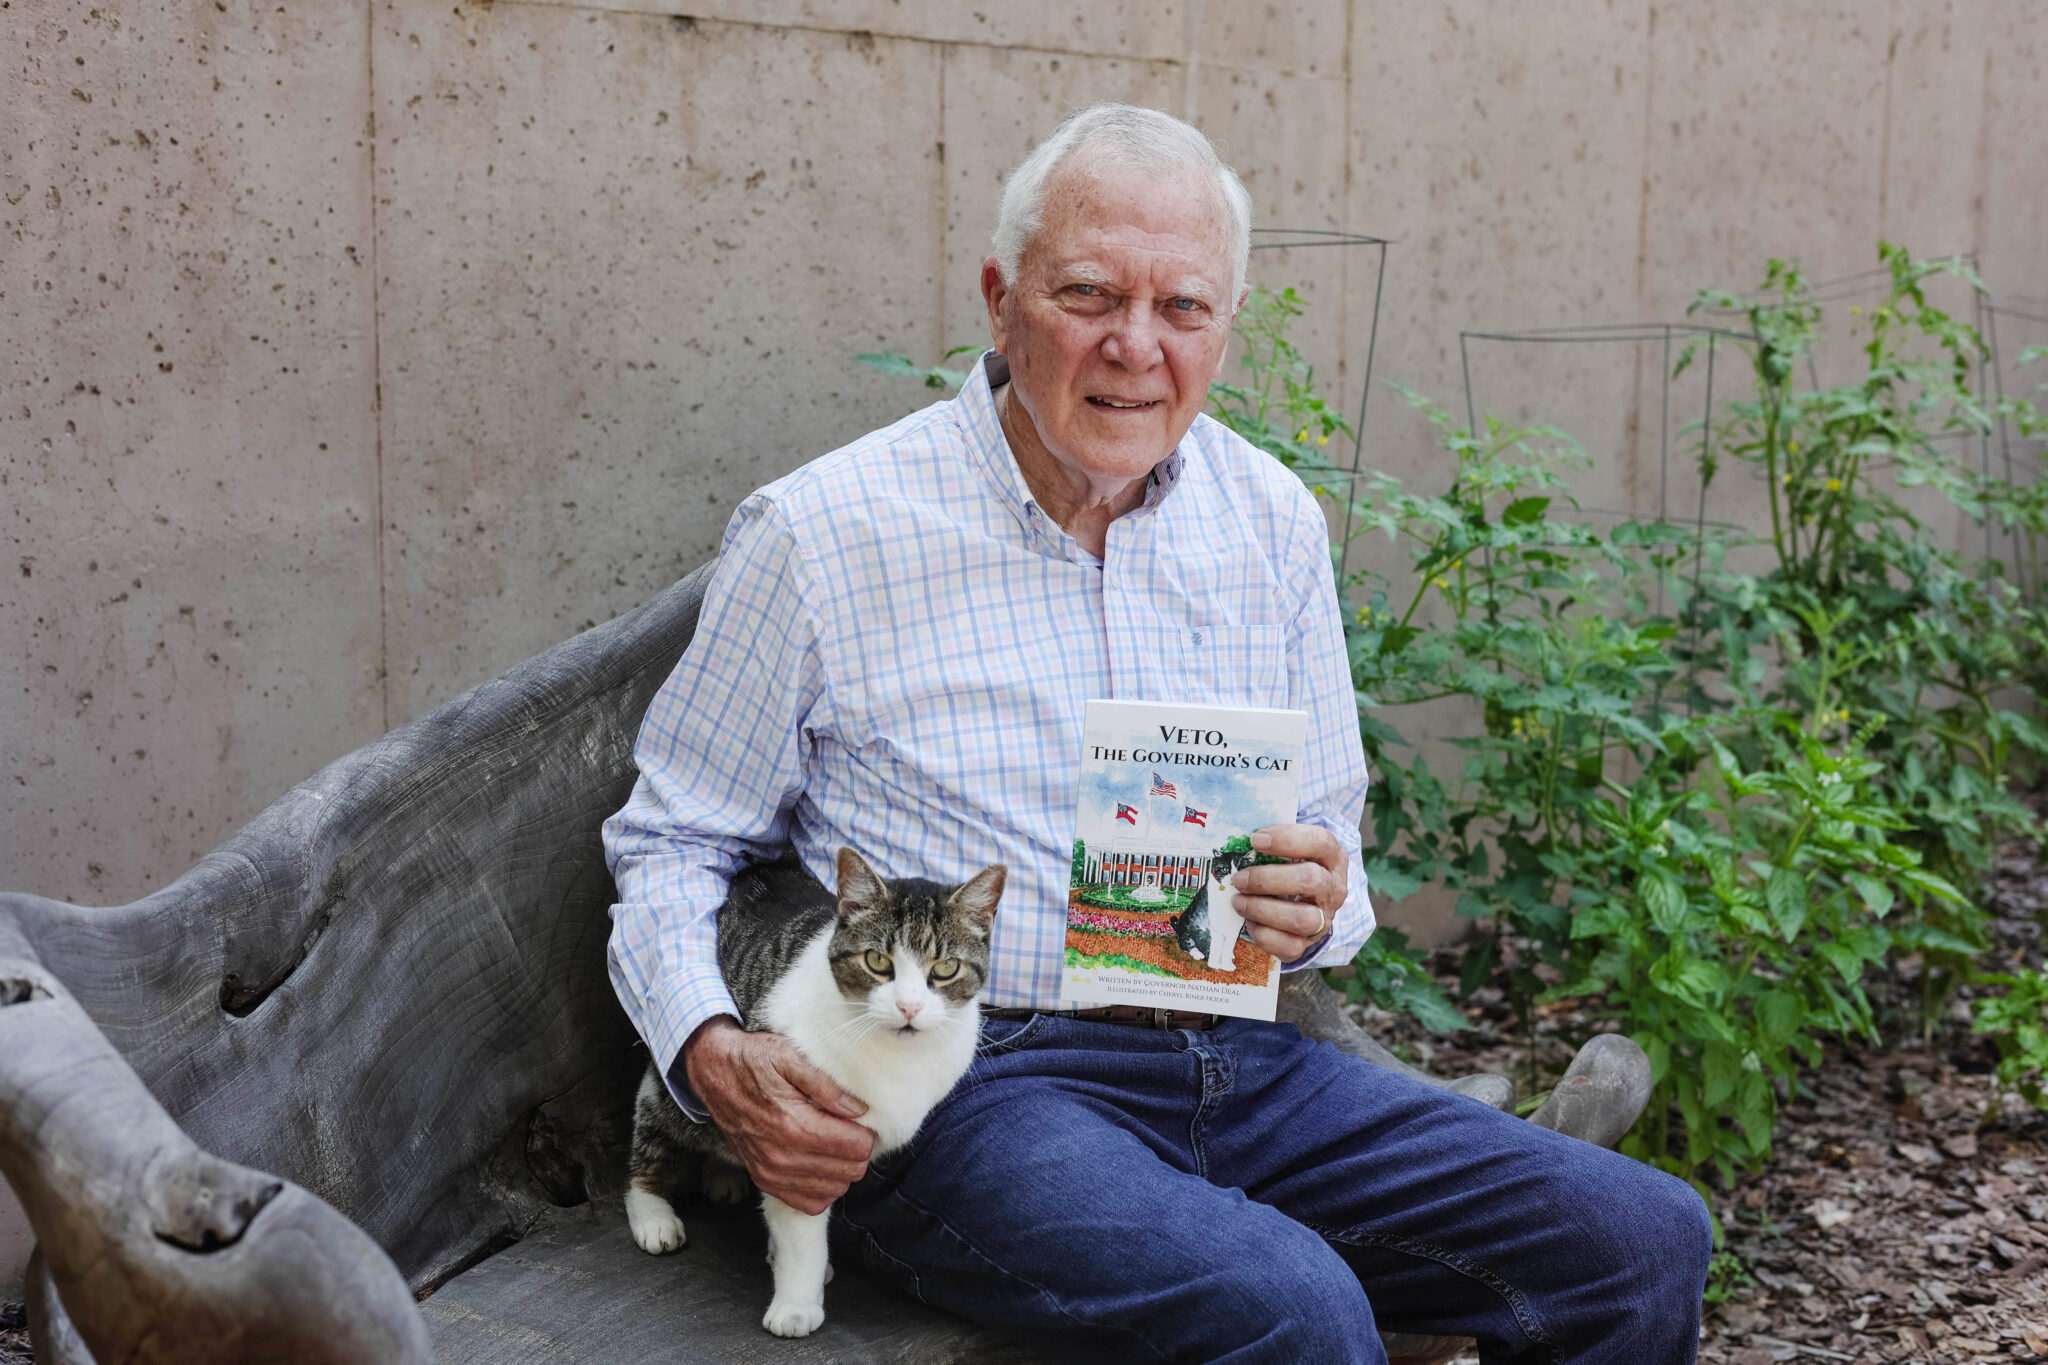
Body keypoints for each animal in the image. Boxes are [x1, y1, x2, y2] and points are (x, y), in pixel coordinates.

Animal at [622, 847, 1007, 1342]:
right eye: (877, 961)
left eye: (945, 969)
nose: (908, 1007)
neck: (897, 1058)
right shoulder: (798, 1138)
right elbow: (801, 1232)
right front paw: (796, 1303)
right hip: (672, 1092)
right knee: (654, 1129)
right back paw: (652, 1212)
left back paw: (723, 1174)